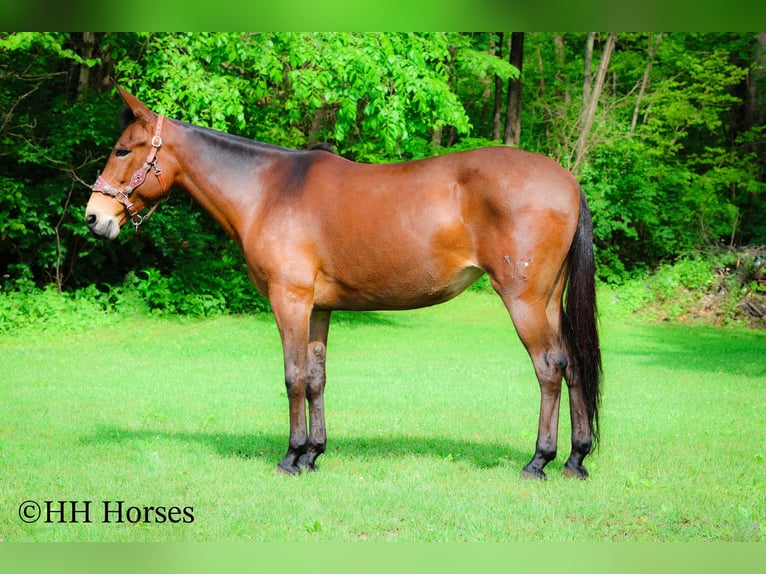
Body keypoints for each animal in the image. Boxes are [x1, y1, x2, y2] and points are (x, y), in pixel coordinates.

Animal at [85, 83, 602, 480]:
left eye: (122, 150)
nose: (94, 217)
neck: (268, 191)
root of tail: (567, 181)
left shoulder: (289, 300)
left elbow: (293, 376)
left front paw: (291, 456)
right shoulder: (318, 308)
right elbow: (316, 378)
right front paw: (313, 454)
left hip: (524, 300)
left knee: (550, 368)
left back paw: (539, 461)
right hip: (549, 300)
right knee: (574, 366)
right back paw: (575, 459)